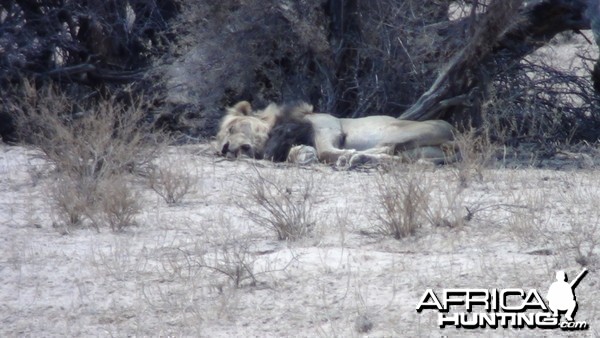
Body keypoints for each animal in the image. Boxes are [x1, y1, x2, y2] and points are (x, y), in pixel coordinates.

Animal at [216, 101, 460, 168]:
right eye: (220, 147)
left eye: (232, 128)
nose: (226, 149)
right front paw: (302, 154)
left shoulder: (329, 126)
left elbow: (325, 150)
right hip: (419, 151)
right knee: (400, 158)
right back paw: (361, 159)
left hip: (400, 131)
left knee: (387, 147)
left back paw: (353, 157)